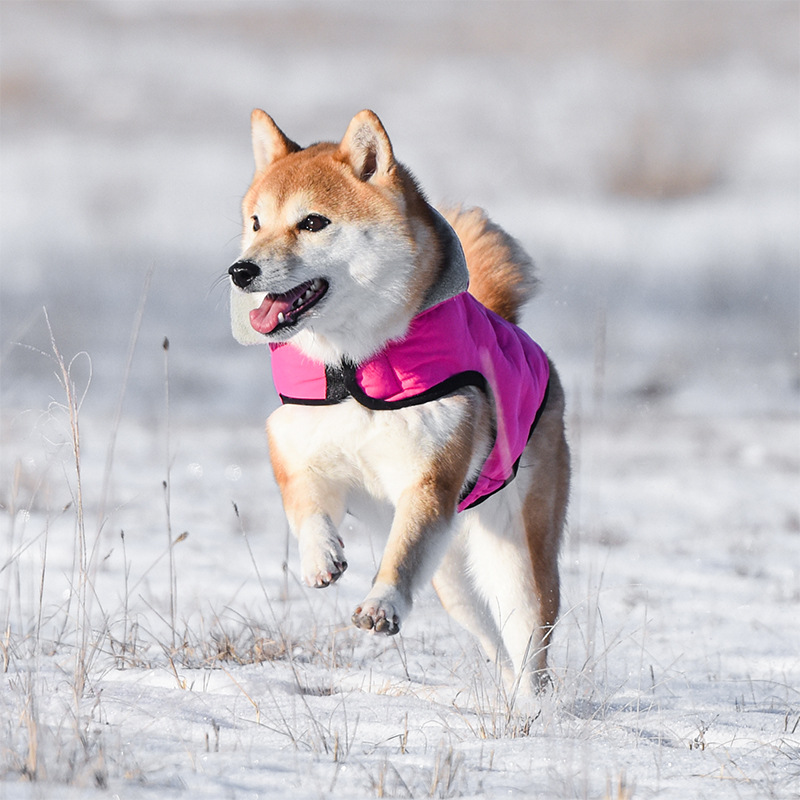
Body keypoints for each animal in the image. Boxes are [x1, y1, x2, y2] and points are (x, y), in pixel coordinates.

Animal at [228, 109, 572, 696]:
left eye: (312, 223)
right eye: (256, 222)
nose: (240, 270)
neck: (353, 365)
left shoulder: (429, 480)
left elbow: (401, 554)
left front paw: (381, 605)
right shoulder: (296, 446)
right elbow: (304, 507)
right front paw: (321, 557)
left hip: (515, 557)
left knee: (530, 642)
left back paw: (531, 705)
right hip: (452, 577)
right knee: (491, 639)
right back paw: (504, 695)